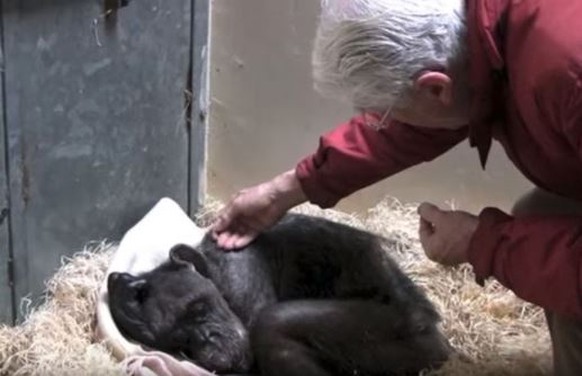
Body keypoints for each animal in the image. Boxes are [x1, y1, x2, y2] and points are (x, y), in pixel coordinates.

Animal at [110, 213, 456, 374]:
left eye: (197, 309)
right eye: (180, 341)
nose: (207, 339)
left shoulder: (241, 277)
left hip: (398, 334)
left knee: (275, 323)